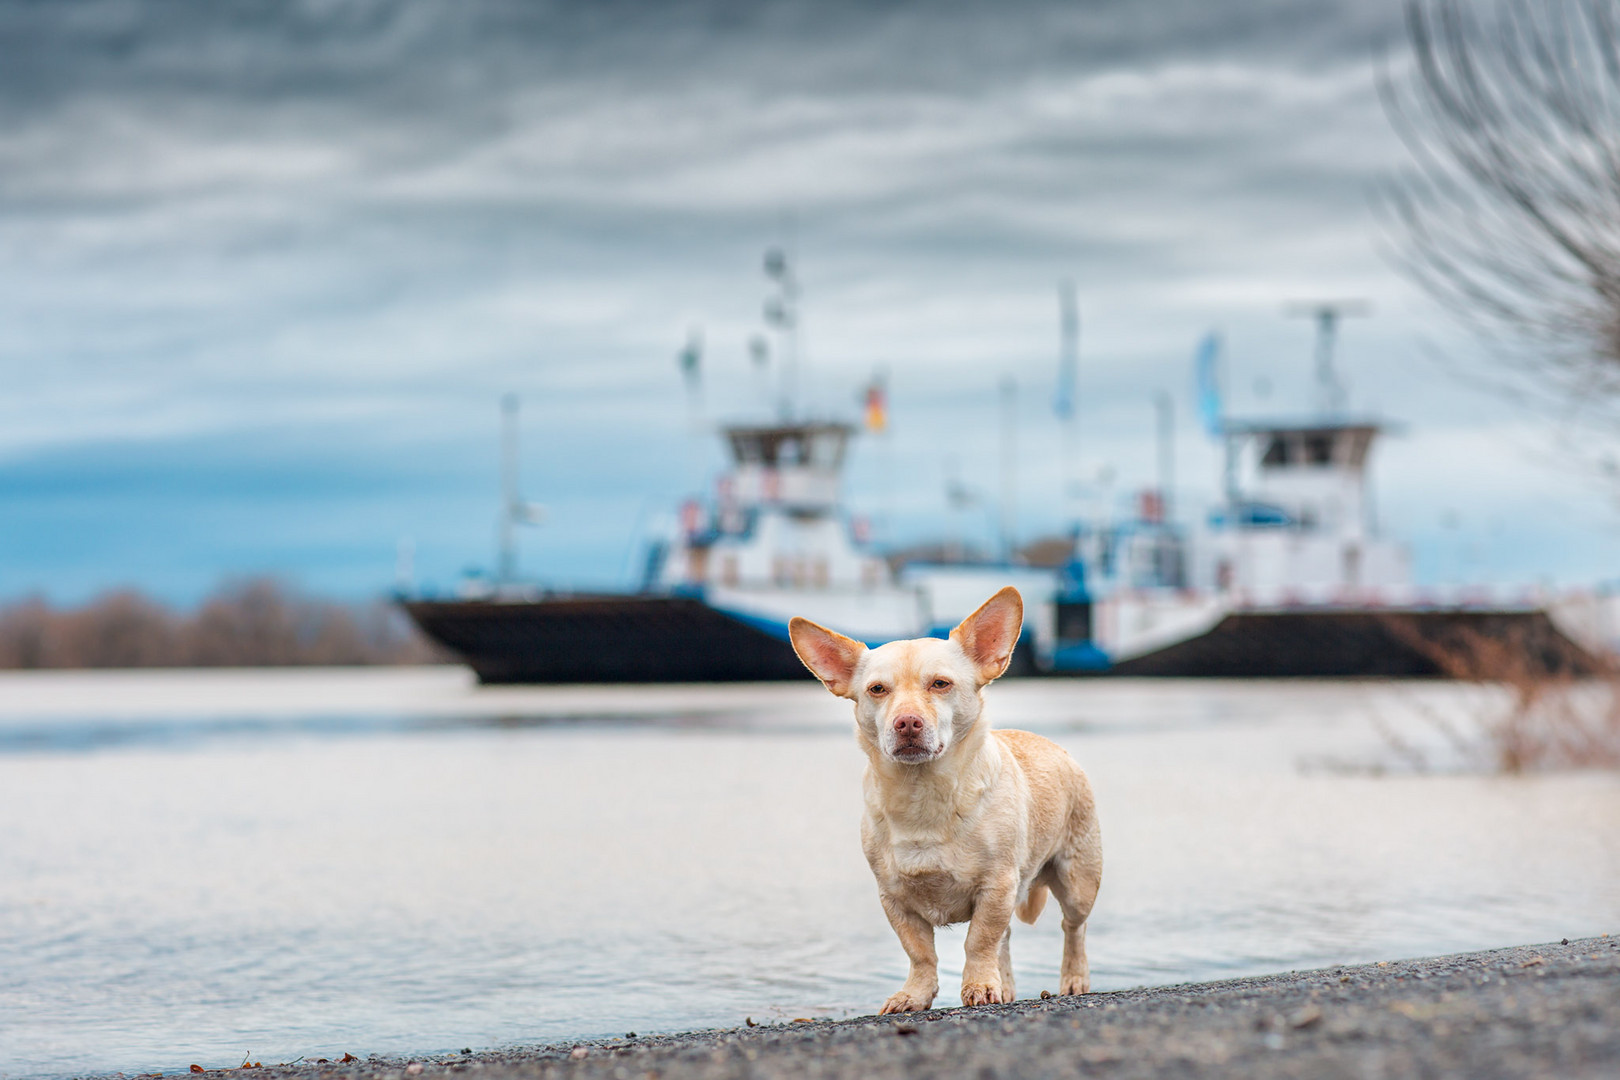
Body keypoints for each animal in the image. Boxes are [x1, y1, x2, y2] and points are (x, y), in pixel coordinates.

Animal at [787, 582, 1101, 1016]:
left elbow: (979, 941)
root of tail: (1056, 747)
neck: (923, 794)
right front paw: (916, 994)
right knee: (1007, 941)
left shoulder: (996, 887)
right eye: (877, 690)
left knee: (1074, 928)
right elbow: (921, 953)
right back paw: (1005, 986)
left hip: (1077, 880)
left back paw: (1073, 979)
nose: (906, 722)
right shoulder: (895, 899)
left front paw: (978, 985)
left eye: (940, 684)